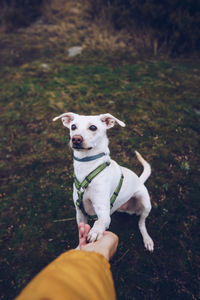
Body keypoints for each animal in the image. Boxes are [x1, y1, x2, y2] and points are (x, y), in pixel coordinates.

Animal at [52, 112, 153, 251]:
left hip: (146, 203)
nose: (76, 139)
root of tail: (140, 180)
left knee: (141, 223)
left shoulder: (103, 212)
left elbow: (99, 221)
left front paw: (95, 231)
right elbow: (81, 235)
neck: (87, 167)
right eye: (73, 126)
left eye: (93, 127)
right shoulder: (80, 213)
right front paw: (79, 249)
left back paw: (147, 239)